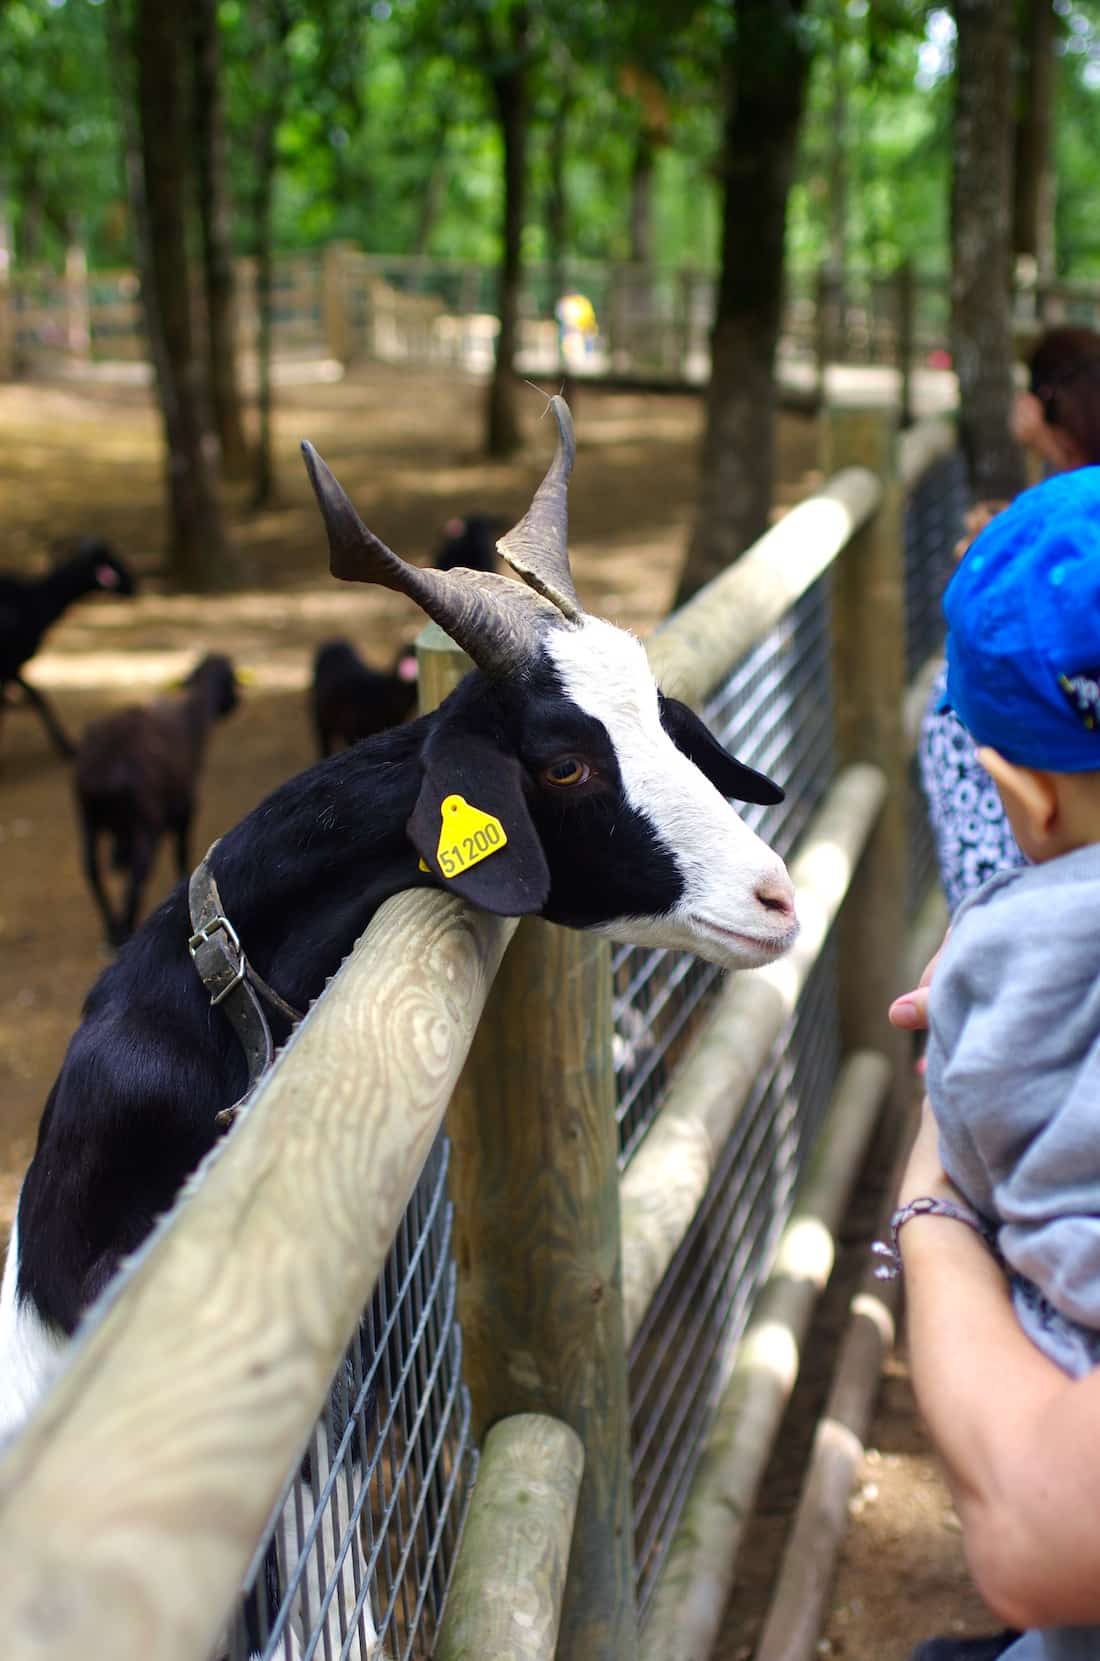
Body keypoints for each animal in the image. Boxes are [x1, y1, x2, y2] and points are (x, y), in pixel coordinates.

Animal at [0, 538, 137, 760]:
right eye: (109, 564)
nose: (134, 584)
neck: (39, 598)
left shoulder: (13, 668)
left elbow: (36, 698)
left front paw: (66, 745)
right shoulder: (11, 665)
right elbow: (37, 699)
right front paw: (67, 746)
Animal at [75, 651, 244, 950]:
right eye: (230, 677)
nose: (237, 702)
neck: (193, 718)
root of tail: (104, 771)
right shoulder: (186, 807)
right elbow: (181, 853)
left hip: (87, 817)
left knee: (92, 869)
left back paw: (112, 926)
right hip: (146, 821)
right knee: (137, 875)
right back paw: (123, 929)